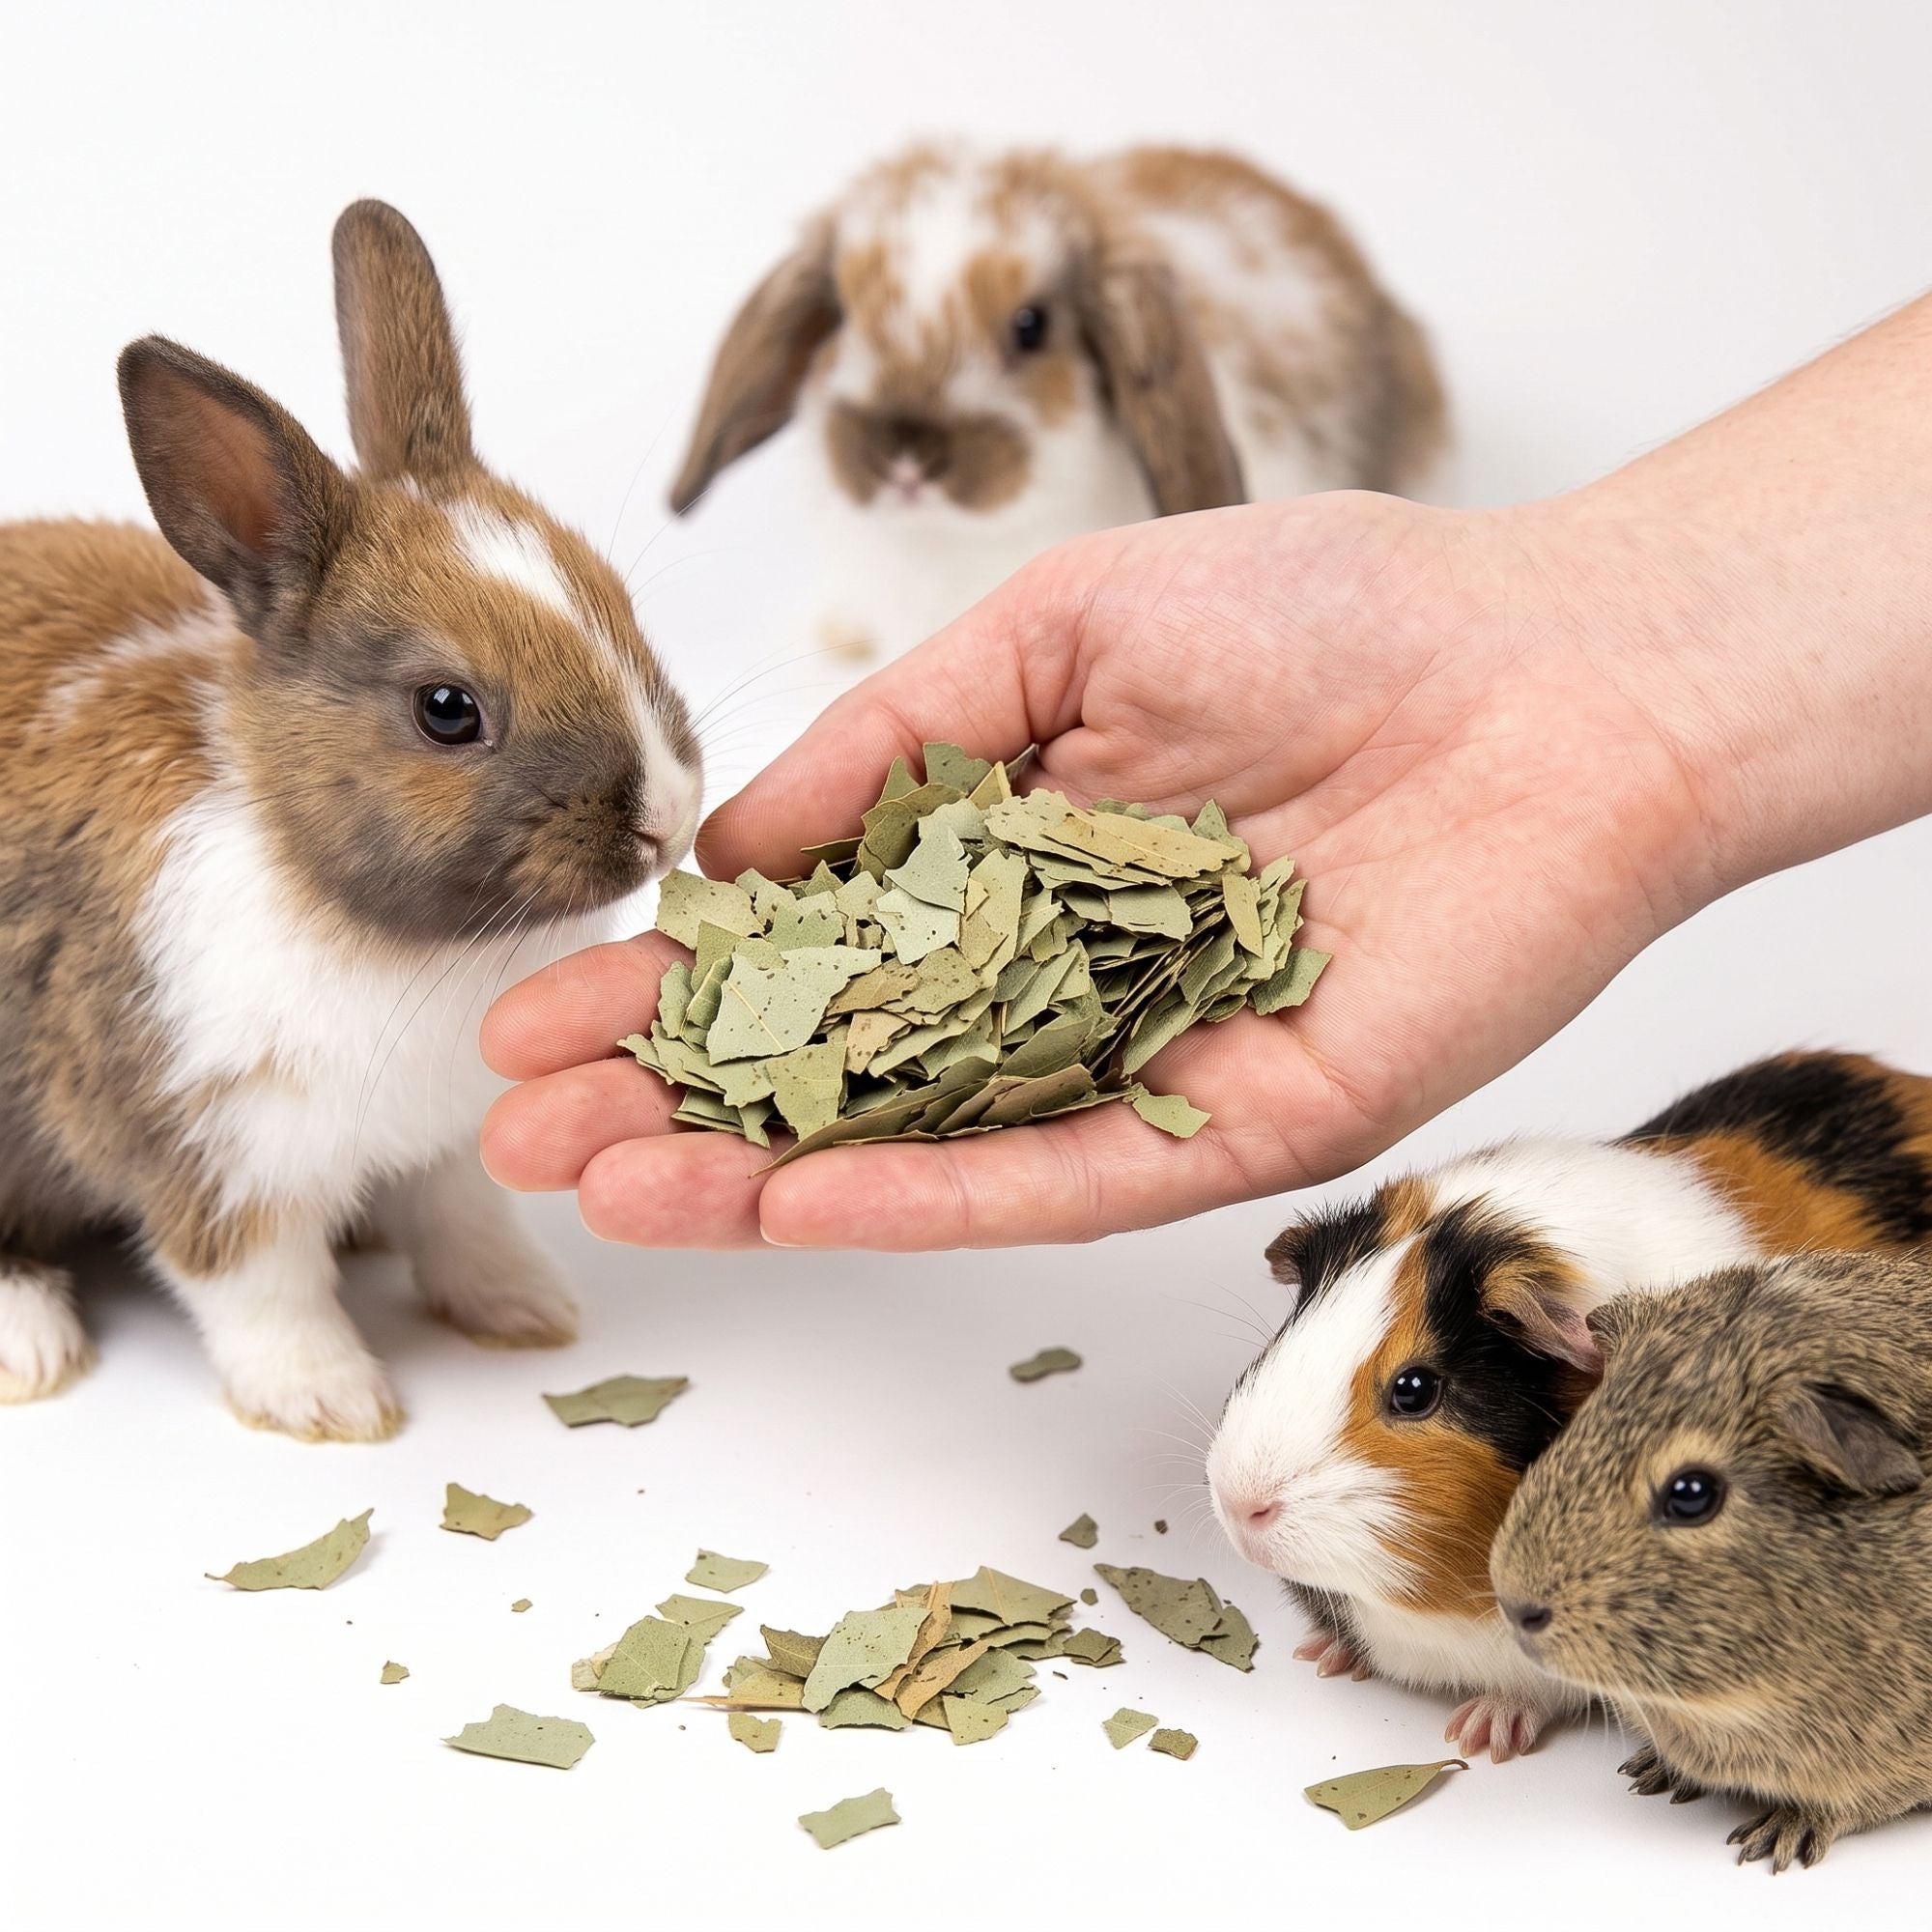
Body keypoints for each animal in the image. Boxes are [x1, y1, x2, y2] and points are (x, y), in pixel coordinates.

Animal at [0, 200, 701, 1440]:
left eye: (614, 600)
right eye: (447, 709)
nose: (668, 814)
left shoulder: (445, 1140)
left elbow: (464, 1222)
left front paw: (525, 1310)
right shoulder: (208, 1149)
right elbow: (258, 1287)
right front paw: (331, 1401)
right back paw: (34, 1345)